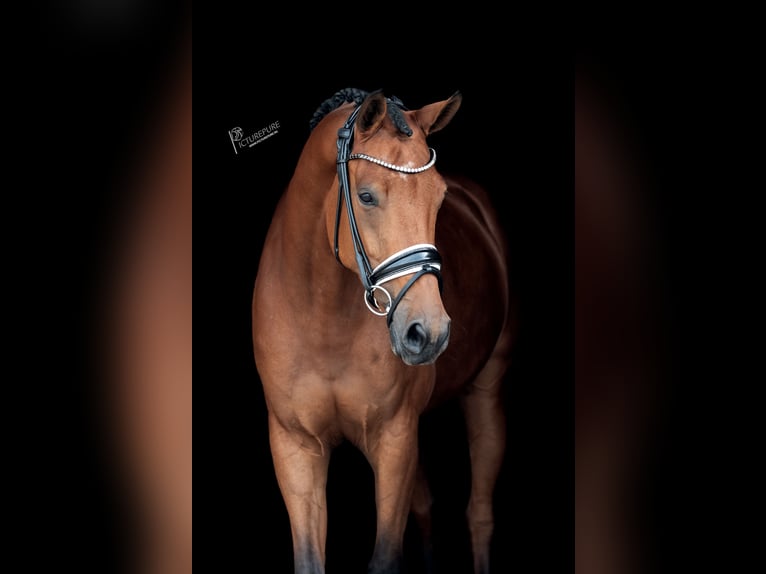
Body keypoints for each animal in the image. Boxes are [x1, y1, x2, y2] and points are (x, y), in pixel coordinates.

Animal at [252, 87, 516, 574]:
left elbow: (386, 557)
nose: (428, 332)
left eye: (439, 198)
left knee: (479, 515)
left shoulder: (394, 439)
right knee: (427, 506)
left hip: (485, 391)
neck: (323, 319)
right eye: (366, 196)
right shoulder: (295, 446)